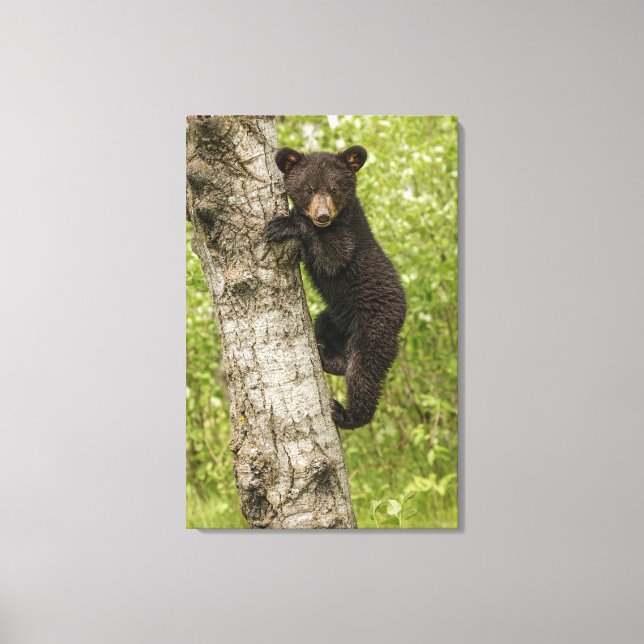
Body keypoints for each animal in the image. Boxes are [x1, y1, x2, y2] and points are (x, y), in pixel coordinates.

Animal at [264, 145, 407, 430]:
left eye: (334, 188)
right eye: (308, 189)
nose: (322, 215)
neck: (339, 218)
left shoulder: (349, 237)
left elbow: (332, 256)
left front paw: (284, 224)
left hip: (374, 327)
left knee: (364, 372)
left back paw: (347, 414)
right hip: (335, 318)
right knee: (328, 333)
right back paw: (327, 356)